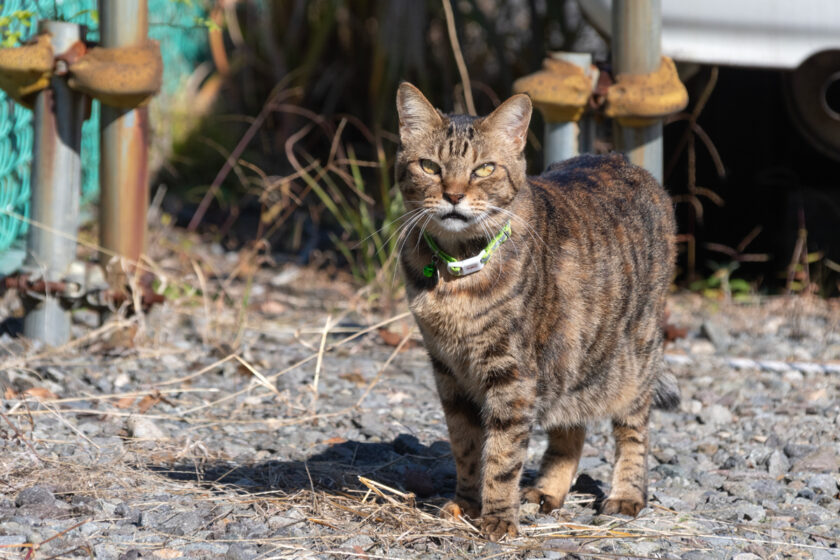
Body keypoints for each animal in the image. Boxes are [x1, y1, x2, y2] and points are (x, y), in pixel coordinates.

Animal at [392, 81, 676, 540]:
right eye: (430, 167)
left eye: (484, 169)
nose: (453, 195)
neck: (456, 273)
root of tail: (616, 157)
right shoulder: (448, 371)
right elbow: (466, 445)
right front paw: (466, 503)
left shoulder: (512, 374)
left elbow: (502, 454)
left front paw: (497, 518)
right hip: (571, 357)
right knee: (570, 428)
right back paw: (547, 490)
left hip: (636, 357)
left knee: (634, 429)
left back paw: (627, 494)